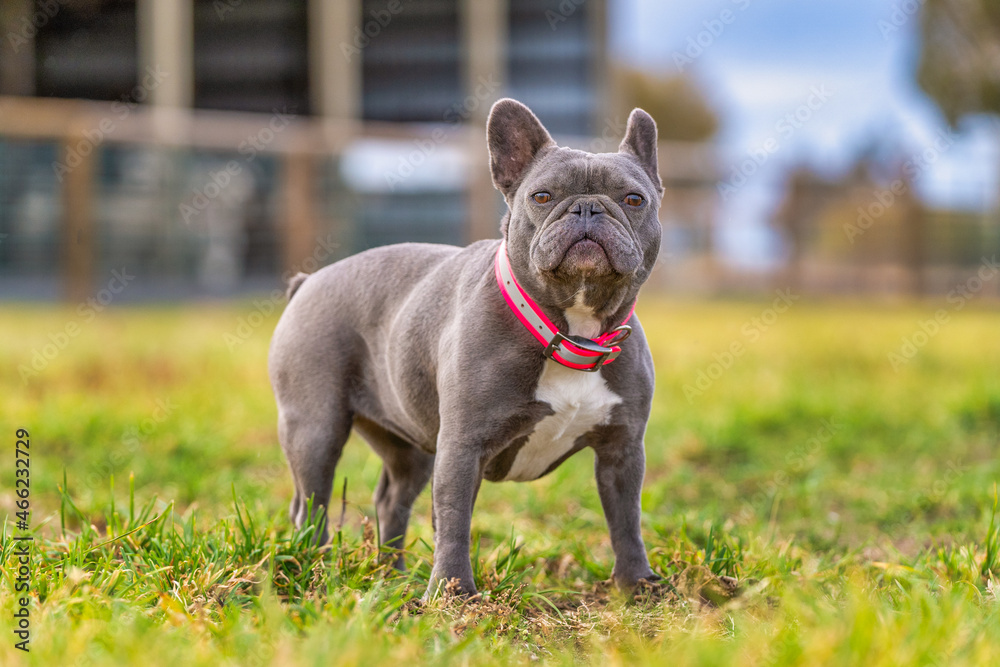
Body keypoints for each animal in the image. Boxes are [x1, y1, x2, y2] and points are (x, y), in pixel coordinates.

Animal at [270, 96, 668, 596]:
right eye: (542, 196)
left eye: (634, 200)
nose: (588, 210)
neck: (569, 332)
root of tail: (307, 283)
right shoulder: (463, 446)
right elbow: (454, 519)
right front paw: (453, 591)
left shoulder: (623, 450)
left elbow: (626, 520)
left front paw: (638, 584)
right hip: (315, 427)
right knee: (310, 503)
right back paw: (316, 568)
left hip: (413, 445)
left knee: (391, 499)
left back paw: (393, 575)